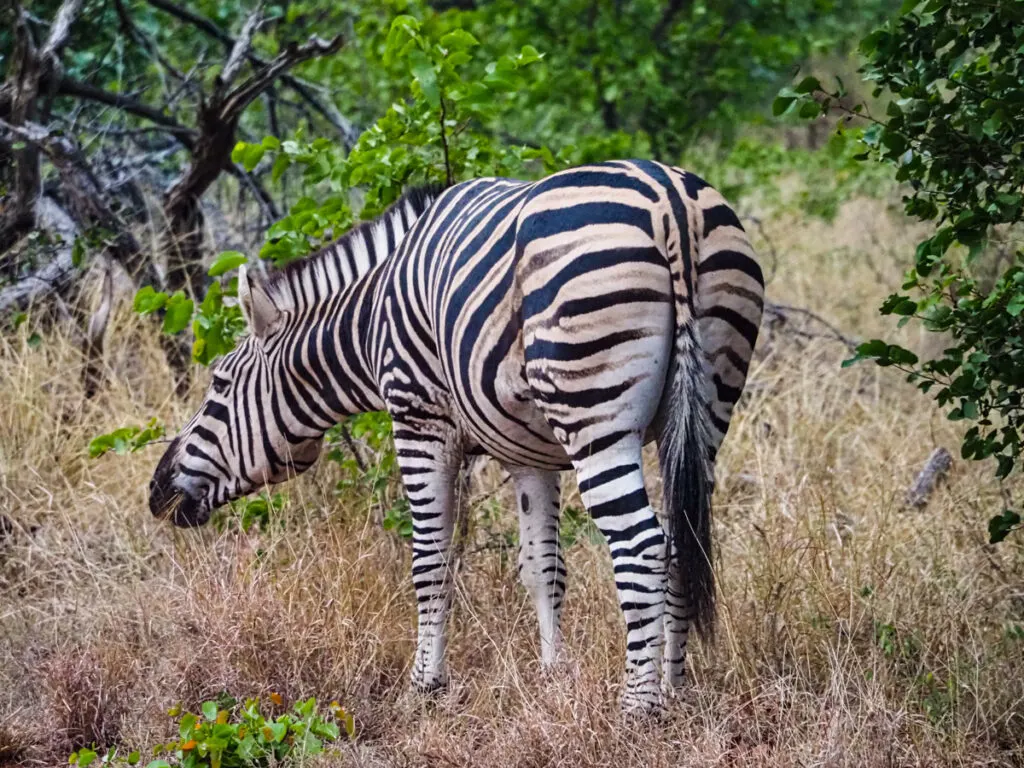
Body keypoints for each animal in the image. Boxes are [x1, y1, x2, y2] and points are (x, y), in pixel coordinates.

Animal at [149, 160, 761, 716]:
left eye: (219, 385)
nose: (156, 492)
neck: (371, 318)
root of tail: (670, 201)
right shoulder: (529, 453)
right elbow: (543, 567)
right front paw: (552, 676)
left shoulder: (418, 421)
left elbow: (430, 562)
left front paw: (424, 685)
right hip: (708, 406)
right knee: (684, 542)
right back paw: (674, 689)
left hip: (594, 417)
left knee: (641, 547)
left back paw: (638, 708)